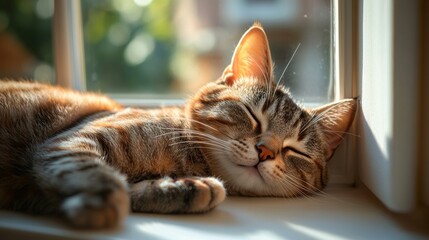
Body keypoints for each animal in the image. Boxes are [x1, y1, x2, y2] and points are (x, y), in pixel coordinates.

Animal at [0, 23, 356, 228]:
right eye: (253, 115)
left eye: (295, 150)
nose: (266, 151)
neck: (185, 156)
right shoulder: (73, 141)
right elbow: (98, 174)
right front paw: (102, 202)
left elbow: (131, 188)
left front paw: (182, 189)